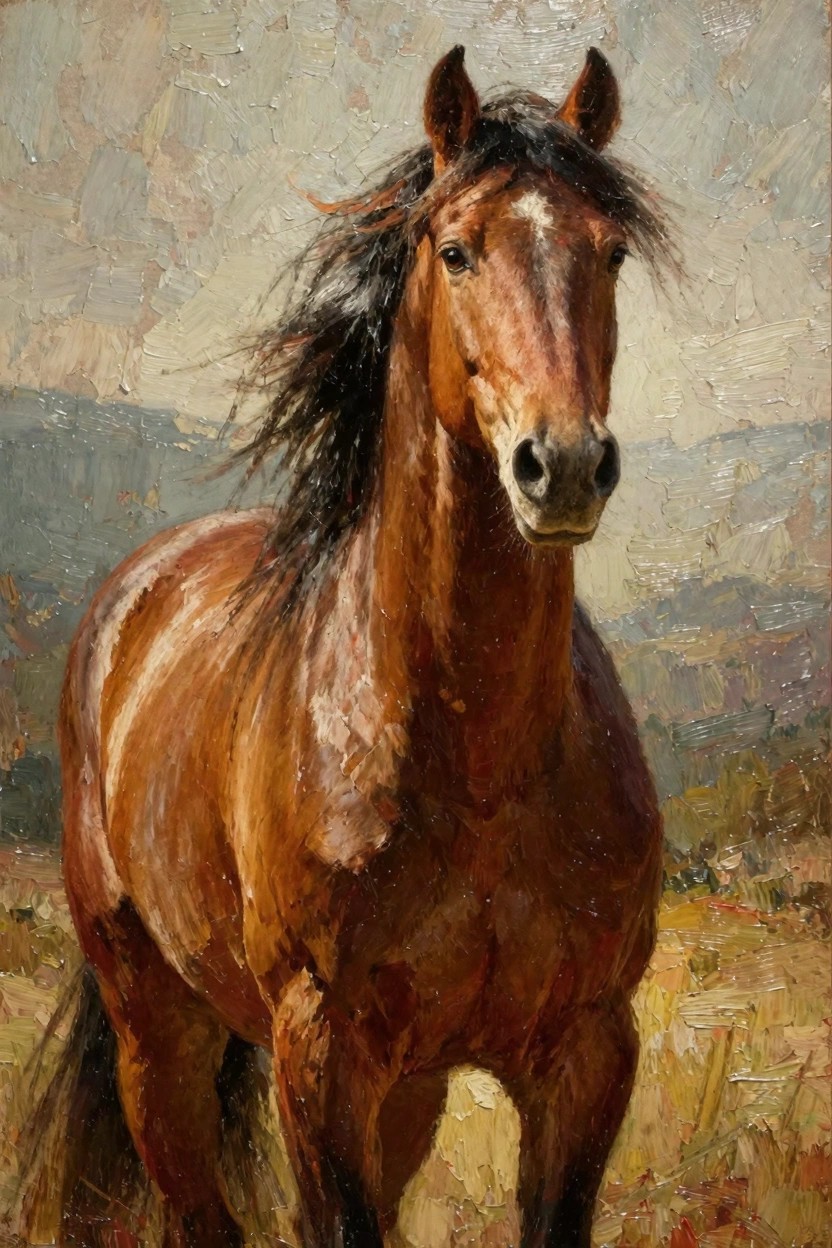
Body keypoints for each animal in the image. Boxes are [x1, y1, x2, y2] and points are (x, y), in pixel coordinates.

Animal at [54, 45, 667, 1248]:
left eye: (609, 252)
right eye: (456, 249)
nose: (564, 466)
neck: (477, 760)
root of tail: (132, 596)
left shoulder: (585, 1059)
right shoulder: (324, 1059)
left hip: (407, 1093)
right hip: (161, 1039)